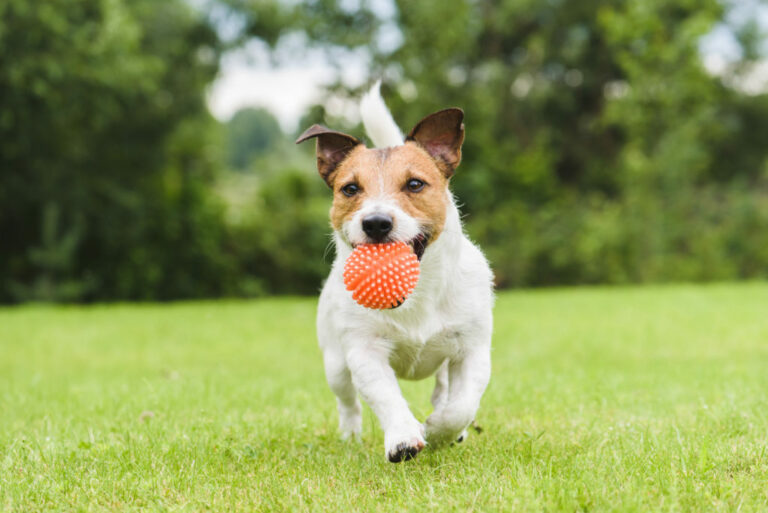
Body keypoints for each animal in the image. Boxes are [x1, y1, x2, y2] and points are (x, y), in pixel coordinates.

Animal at [294, 83, 492, 460]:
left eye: (415, 184)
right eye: (350, 189)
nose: (376, 223)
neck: (416, 295)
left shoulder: (472, 349)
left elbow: (461, 406)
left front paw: (439, 429)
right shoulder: (364, 351)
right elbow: (386, 397)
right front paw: (403, 437)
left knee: (443, 389)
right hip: (335, 363)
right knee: (348, 402)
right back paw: (350, 435)